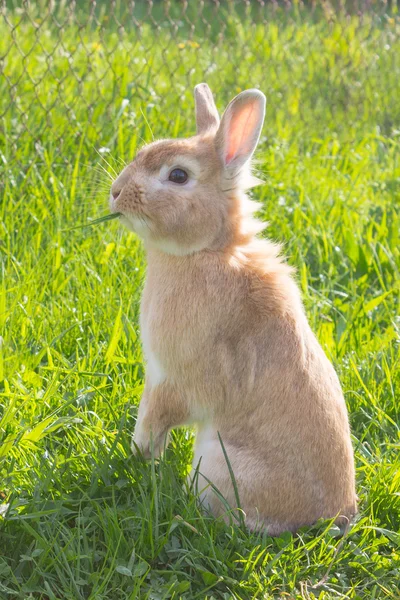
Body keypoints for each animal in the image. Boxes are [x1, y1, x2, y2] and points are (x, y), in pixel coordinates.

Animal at [108, 81, 356, 536]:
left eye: (178, 175)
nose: (115, 192)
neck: (207, 251)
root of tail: (335, 517)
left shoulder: (171, 380)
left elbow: (152, 423)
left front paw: (136, 458)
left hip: (217, 466)